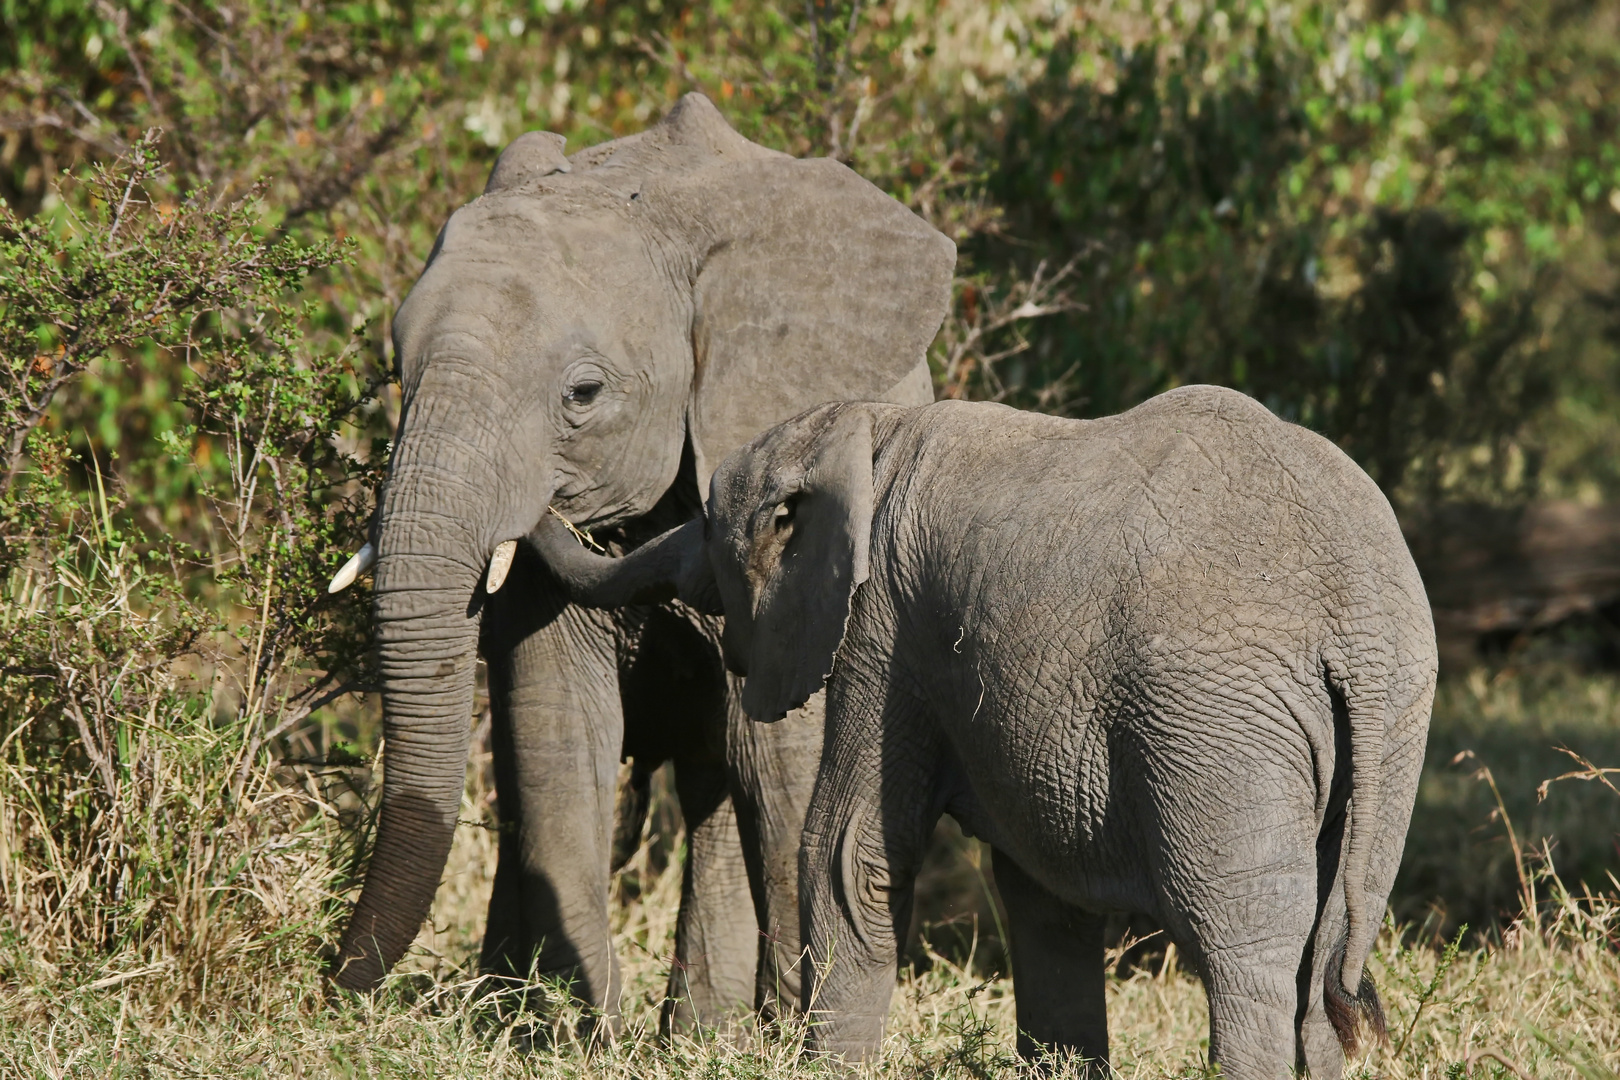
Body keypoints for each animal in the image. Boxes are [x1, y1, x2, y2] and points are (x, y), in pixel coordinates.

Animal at [332, 93, 959, 1029]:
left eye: (583, 395)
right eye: (397, 369)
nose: (324, 974)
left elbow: (778, 758)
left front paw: (778, 1032)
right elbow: (558, 726)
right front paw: (574, 1030)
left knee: (725, 779)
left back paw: (712, 1030)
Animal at [528, 383, 1432, 1075]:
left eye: (713, 529)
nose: (554, 504)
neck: (869, 432)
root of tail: (1359, 619)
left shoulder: (886, 625)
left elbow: (847, 854)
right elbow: (1044, 896)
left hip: (1217, 720)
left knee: (1246, 954)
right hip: (1393, 736)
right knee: (1325, 956)